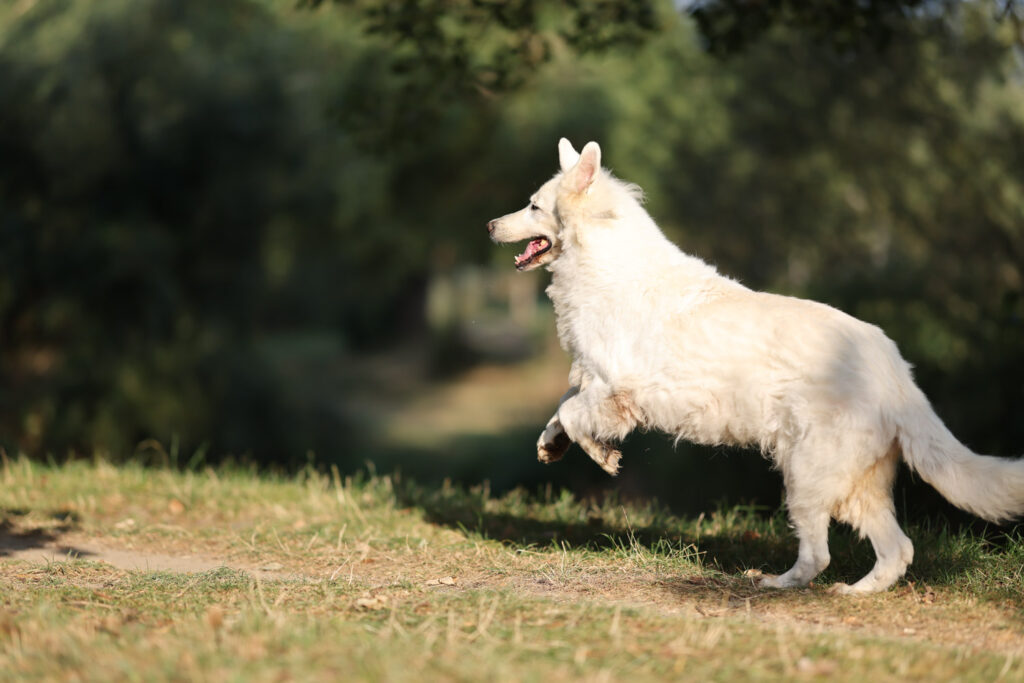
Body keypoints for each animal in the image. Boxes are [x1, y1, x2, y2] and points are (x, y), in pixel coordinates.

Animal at [485, 137, 1024, 593]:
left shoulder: (617, 388)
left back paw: (775, 585)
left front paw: (601, 455)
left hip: (806, 474)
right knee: (897, 549)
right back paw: (854, 593)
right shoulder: (594, 380)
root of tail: (894, 369)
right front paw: (552, 444)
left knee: (820, 555)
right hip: (854, 485)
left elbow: (574, 413)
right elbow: (563, 407)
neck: (604, 262)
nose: (489, 226)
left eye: (534, 206)